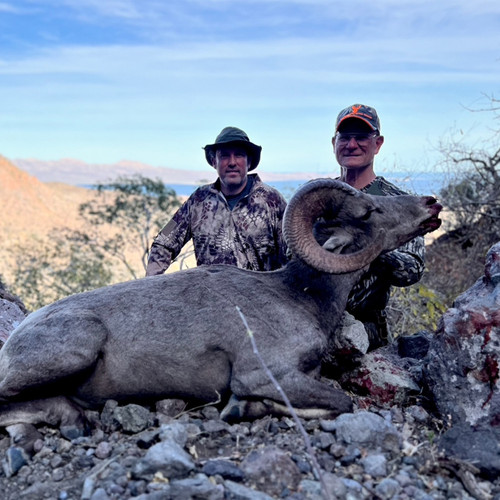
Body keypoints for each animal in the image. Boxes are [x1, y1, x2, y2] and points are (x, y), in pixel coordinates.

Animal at [0, 179, 442, 446]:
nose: (431, 203)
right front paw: (239, 409)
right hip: (77, 349)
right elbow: (340, 403)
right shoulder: (263, 374)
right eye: (367, 212)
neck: (297, 297)